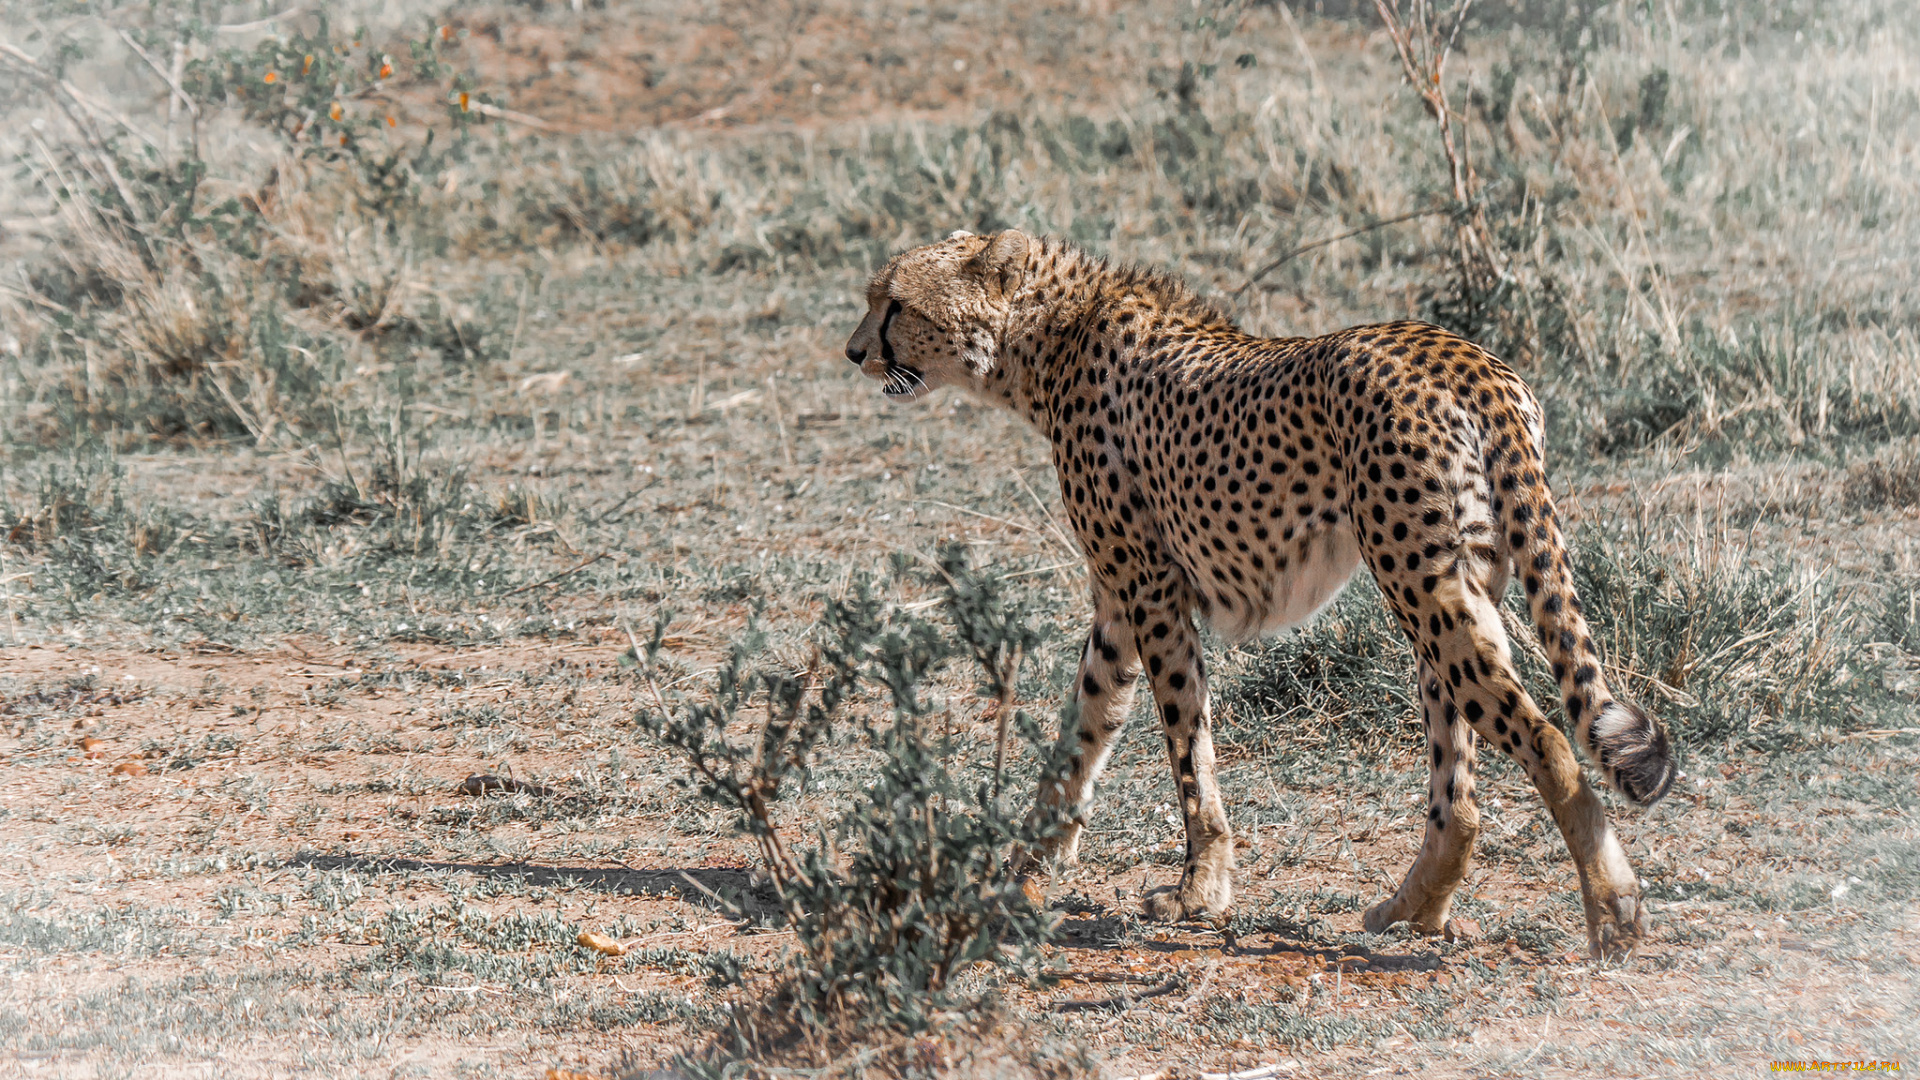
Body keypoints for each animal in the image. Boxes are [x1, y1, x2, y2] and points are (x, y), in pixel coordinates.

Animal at [848, 228, 1674, 957]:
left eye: (895, 303)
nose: (854, 352)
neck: (1050, 337)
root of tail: (1465, 356)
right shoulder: (1117, 602)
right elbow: (1086, 725)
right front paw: (1028, 861)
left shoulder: (1150, 589)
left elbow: (1186, 739)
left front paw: (1198, 886)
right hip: (1456, 587)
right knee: (1461, 788)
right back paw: (1414, 907)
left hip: (1420, 583)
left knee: (1546, 740)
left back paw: (1612, 910)